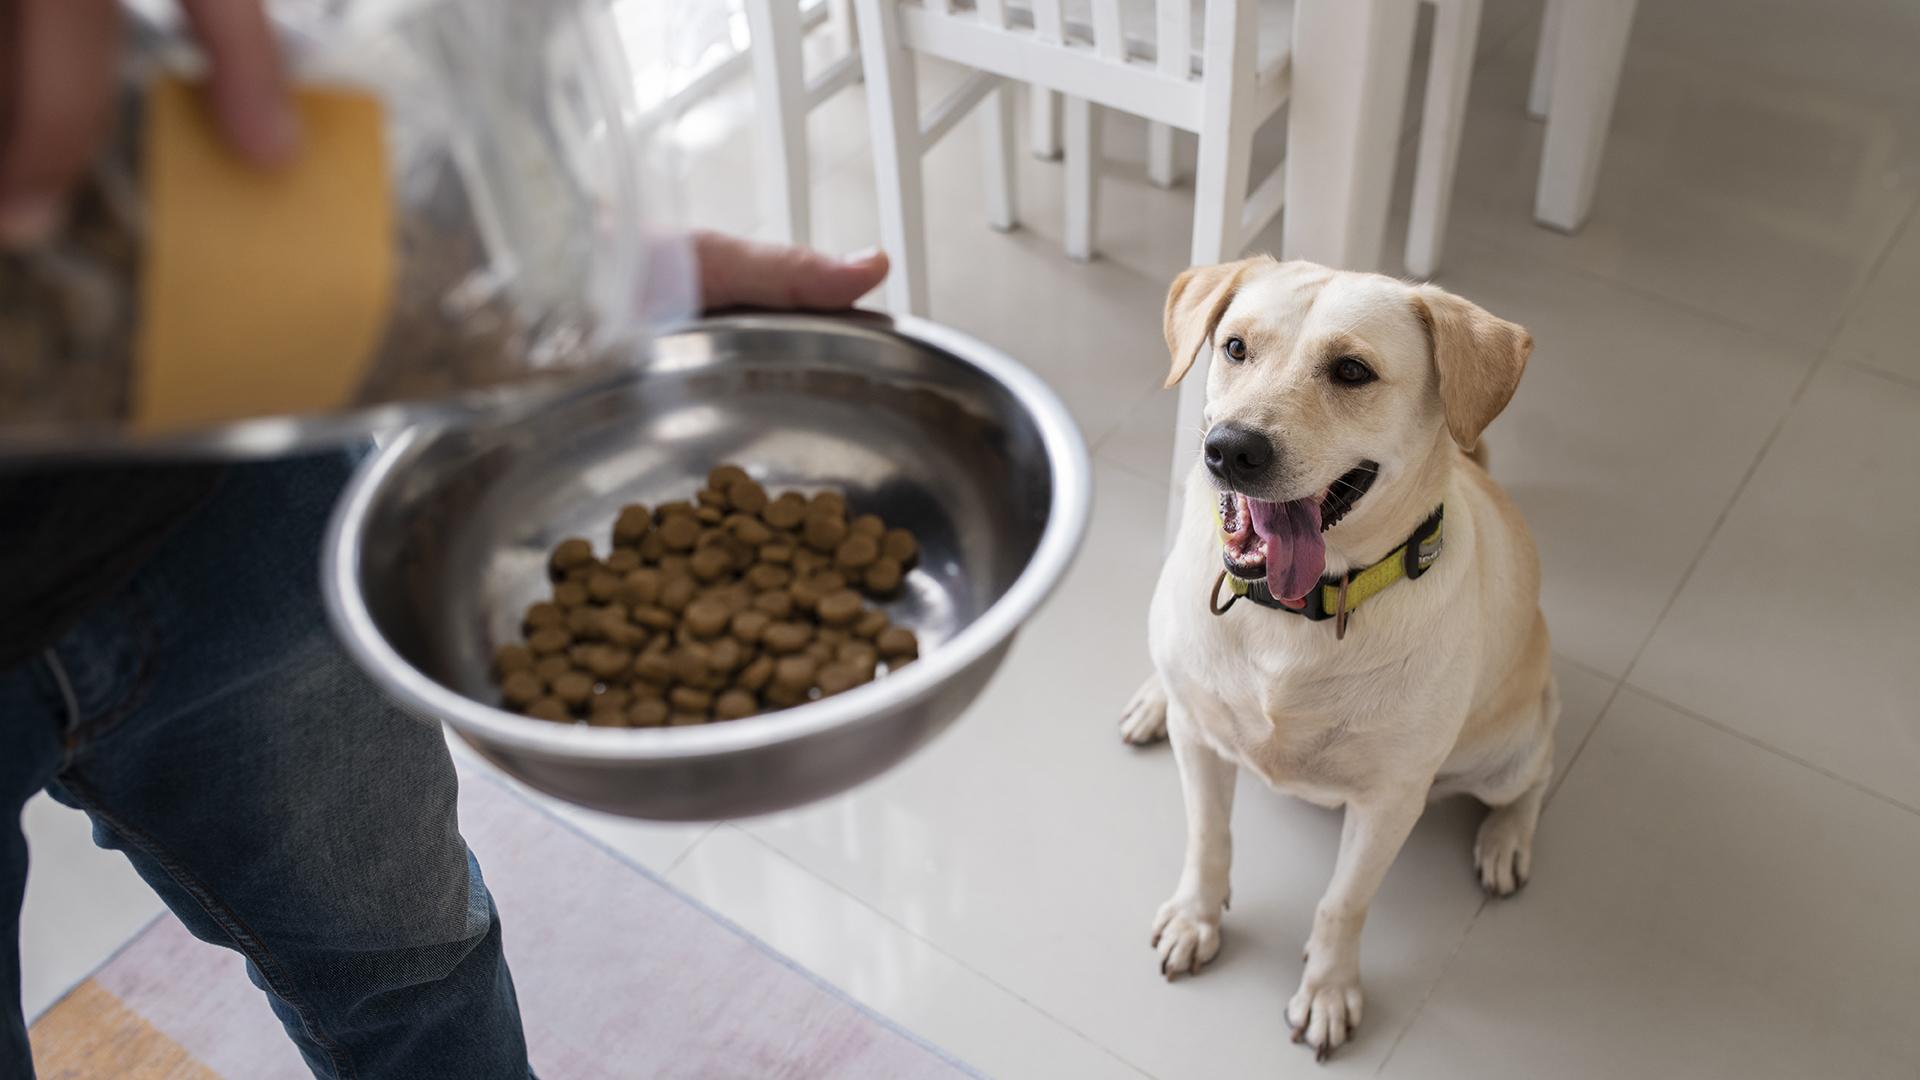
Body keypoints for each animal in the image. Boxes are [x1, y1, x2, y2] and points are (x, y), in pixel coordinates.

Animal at [1121, 255, 1551, 1053]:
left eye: (1352, 371)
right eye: (1234, 347)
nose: (1231, 448)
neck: (1291, 616)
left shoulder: (1389, 801)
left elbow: (1342, 903)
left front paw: (1328, 989)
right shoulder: (1202, 747)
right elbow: (1208, 838)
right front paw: (1197, 917)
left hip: (1505, 750)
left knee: (1534, 776)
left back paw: (1507, 838)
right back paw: (1154, 698)